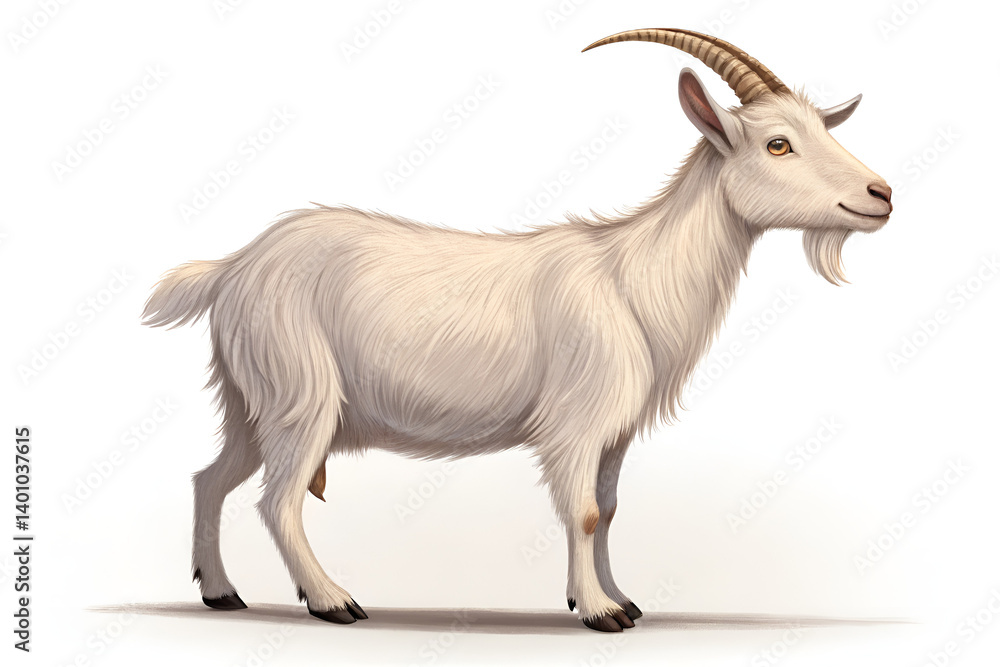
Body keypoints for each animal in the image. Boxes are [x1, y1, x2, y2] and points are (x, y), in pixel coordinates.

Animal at [142, 28, 892, 632]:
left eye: (823, 132)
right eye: (777, 144)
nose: (881, 194)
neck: (632, 278)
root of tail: (233, 266)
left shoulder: (614, 432)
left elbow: (608, 509)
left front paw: (620, 597)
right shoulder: (575, 423)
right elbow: (583, 511)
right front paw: (600, 612)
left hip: (251, 396)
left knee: (210, 479)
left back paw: (221, 592)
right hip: (300, 391)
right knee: (279, 499)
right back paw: (332, 600)